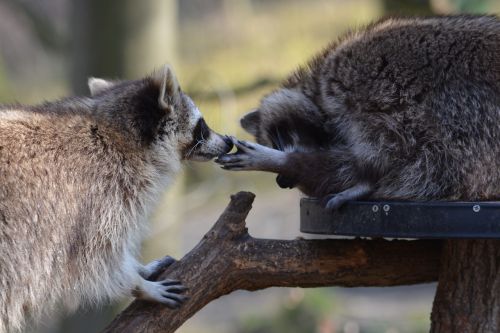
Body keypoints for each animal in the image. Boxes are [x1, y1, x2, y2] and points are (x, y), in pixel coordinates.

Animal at [0, 65, 232, 332]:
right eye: (201, 125)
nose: (229, 141)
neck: (117, 133)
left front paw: (139, 269)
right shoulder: (97, 196)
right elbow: (94, 258)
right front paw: (137, 285)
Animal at [217, 15, 500, 209]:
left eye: (278, 138)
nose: (282, 182)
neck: (317, 93)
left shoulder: (366, 90)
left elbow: (390, 148)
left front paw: (287, 162)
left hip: (468, 114)